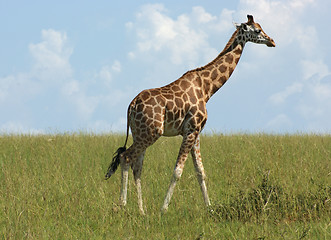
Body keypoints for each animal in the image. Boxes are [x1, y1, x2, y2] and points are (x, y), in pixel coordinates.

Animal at [105, 15, 274, 214]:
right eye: (257, 30)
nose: (272, 41)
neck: (207, 88)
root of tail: (131, 106)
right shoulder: (191, 129)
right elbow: (178, 171)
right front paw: (163, 209)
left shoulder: (196, 131)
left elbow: (200, 171)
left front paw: (209, 208)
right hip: (151, 133)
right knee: (126, 157)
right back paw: (123, 205)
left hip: (139, 133)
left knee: (137, 166)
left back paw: (142, 210)